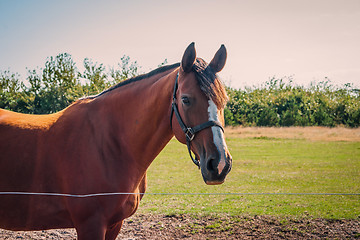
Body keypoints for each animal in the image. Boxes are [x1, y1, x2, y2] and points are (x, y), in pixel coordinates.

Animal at [0, 42, 231, 239]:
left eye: (224, 101)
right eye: (185, 99)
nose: (219, 164)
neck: (111, 144)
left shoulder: (114, 225)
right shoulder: (90, 225)